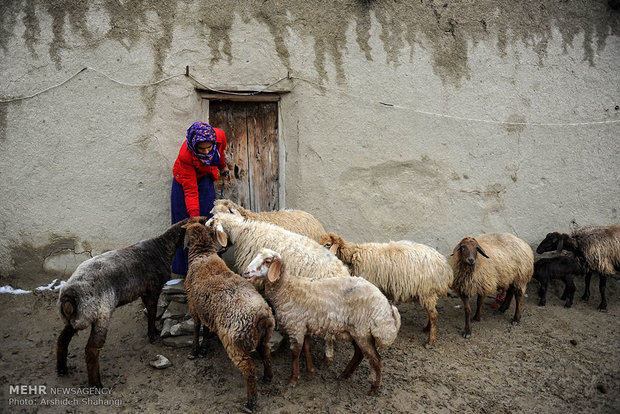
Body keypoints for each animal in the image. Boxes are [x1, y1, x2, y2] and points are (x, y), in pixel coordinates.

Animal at [56, 217, 206, 388]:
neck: (162, 247)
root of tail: (68, 297)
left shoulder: (144, 292)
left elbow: (150, 311)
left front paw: (153, 331)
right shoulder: (154, 289)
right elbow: (152, 311)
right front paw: (152, 335)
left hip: (73, 320)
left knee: (62, 339)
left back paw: (62, 369)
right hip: (100, 315)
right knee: (91, 350)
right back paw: (96, 385)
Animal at [182, 220, 274, 410]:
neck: (203, 255)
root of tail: (261, 316)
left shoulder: (193, 305)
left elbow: (196, 328)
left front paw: (194, 351)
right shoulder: (206, 310)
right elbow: (206, 329)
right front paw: (203, 348)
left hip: (234, 341)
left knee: (249, 368)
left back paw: (250, 403)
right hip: (262, 336)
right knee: (266, 353)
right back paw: (268, 377)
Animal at [242, 247, 402, 396]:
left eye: (267, 261)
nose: (246, 273)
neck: (287, 289)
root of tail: (386, 307)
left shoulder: (296, 326)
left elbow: (295, 352)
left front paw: (294, 378)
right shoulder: (305, 325)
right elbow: (306, 348)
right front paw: (310, 371)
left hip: (362, 332)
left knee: (375, 359)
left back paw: (373, 389)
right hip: (357, 331)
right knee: (359, 354)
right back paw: (345, 374)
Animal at [318, 233, 452, 346]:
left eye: (328, 244)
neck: (354, 255)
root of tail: (445, 267)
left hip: (427, 291)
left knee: (434, 315)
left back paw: (430, 341)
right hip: (429, 293)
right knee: (432, 313)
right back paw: (426, 328)